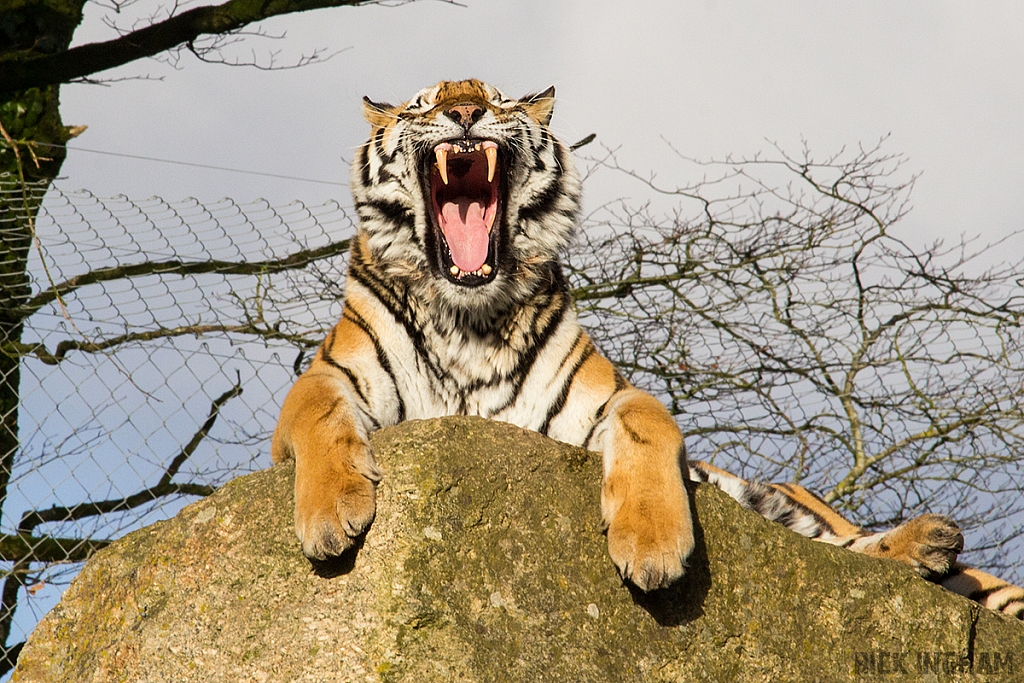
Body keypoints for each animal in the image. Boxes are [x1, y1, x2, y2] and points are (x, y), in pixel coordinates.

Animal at [272, 76, 1024, 618]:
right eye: (424, 104)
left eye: (498, 100)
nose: (464, 112)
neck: (471, 316)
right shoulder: (323, 388)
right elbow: (317, 409)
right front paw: (333, 512)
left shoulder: (598, 400)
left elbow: (647, 419)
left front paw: (655, 543)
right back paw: (927, 548)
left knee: (852, 546)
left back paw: (928, 541)